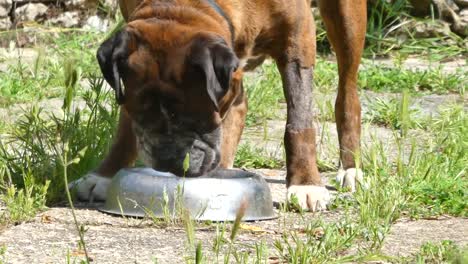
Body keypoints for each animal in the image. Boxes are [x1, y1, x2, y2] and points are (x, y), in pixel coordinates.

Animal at [72, 0, 366, 211]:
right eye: (141, 114)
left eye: (195, 119)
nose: (167, 160)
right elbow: (125, 130)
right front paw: (105, 174)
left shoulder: (297, 39)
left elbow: (299, 122)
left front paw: (306, 184)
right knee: (240, 101)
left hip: (346, 21)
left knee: (348, 95)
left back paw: (351, 168)